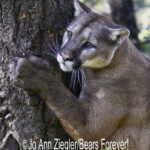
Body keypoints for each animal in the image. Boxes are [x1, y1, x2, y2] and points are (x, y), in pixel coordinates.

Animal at [10, 0, 150, 149]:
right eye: (70, 33)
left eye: (89, 44)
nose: (64, 56)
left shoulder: (89, 128)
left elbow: (62, 98)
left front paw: (33, 72)